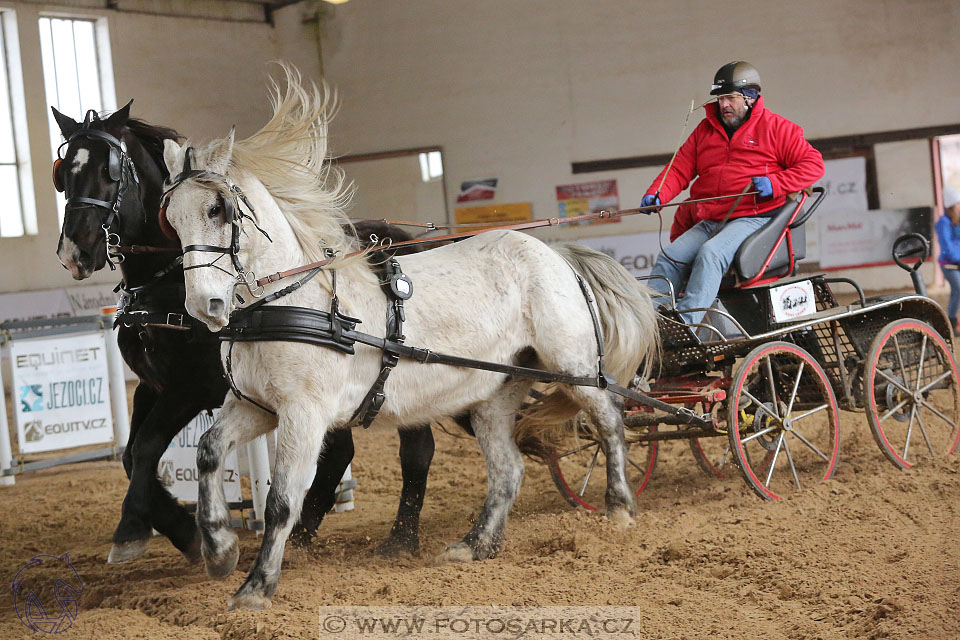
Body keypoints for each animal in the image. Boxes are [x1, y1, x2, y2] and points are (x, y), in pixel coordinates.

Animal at [54, 105, 436, 564]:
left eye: (109, 172)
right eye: (63, 173)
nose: (75, 251)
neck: (166, 286)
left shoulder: (193, 388)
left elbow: (145, 447)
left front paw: (134, 531)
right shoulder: (151, 385)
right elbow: (131, 456)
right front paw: (184, 531)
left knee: (415, 447)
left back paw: (400, 539)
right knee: (343, 452)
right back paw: (304, 533)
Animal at [159, 70, 660, 608]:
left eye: (218, 208)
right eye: (171, 219)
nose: (204, 305)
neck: (288, 303)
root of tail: (553, 251)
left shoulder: (304, 413)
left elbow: (281, 501)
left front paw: (256, 586)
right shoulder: (257, 406)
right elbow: (209, 450)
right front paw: (218, 548)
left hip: (574, 367)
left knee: (609, 422)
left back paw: (618, 508)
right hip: (495, 392)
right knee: (508, 470)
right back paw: (474, 544)